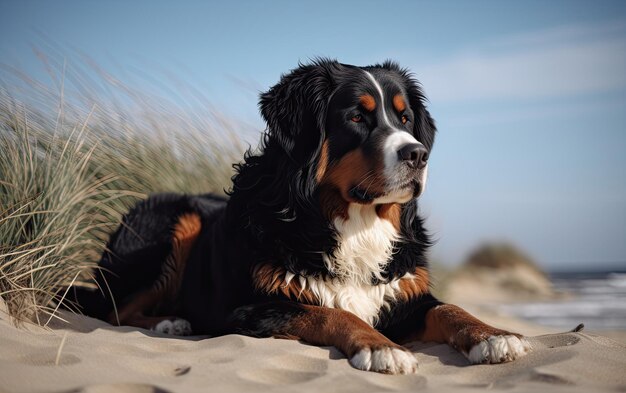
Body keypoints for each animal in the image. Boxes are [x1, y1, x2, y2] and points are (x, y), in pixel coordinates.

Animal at [75, 59, 528, 372]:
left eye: (405, 118)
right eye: (357, 117)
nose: (417, 154)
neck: (356, 224)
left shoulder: (405, 295)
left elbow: (450, 309)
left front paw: (495, 335)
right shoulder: (252, 307)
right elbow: (333, 312)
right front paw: (382, 347)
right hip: (175, 219)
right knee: (116, 310)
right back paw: (172, 322)